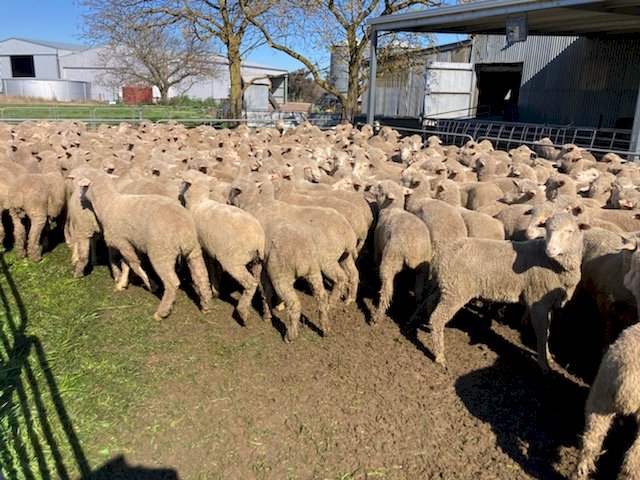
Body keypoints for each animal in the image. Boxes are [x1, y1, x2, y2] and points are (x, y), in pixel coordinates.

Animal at [78, 171, 212, 320]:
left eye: (83, 185)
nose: (79, 198)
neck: (108, 204)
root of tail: (183, 229)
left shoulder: (121, 242)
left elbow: (134, 265)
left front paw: (151, 284)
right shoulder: (128, 242)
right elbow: (126, 264)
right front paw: (122, 284)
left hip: (161, 253)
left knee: (172, 283)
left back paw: (161, 312)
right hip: (194, 250)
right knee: (202, 276)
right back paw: (206, 306)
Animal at [372, 180, 432, 324]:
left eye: (380, 187)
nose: (368, 187)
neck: (391, 209)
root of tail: (413, 250)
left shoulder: (377, 245)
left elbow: (375, 259)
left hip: (391, 258)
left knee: (387, 289)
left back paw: (377, 316)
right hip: (423, 268)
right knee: (419, 290)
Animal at [421, 211, 587, 372]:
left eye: (570, 231)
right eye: (547, 229)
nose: (550, 249)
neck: (550, 262)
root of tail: (441, 255)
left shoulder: (548, 303)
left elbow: (547, 332)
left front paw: (548, 356)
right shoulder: (537, 302)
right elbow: (541, 333)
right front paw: (544, 365)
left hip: (446, 286)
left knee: (431, 303)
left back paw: (429, 328)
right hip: (456, 290)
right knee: (438, 317)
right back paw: (440, 355)